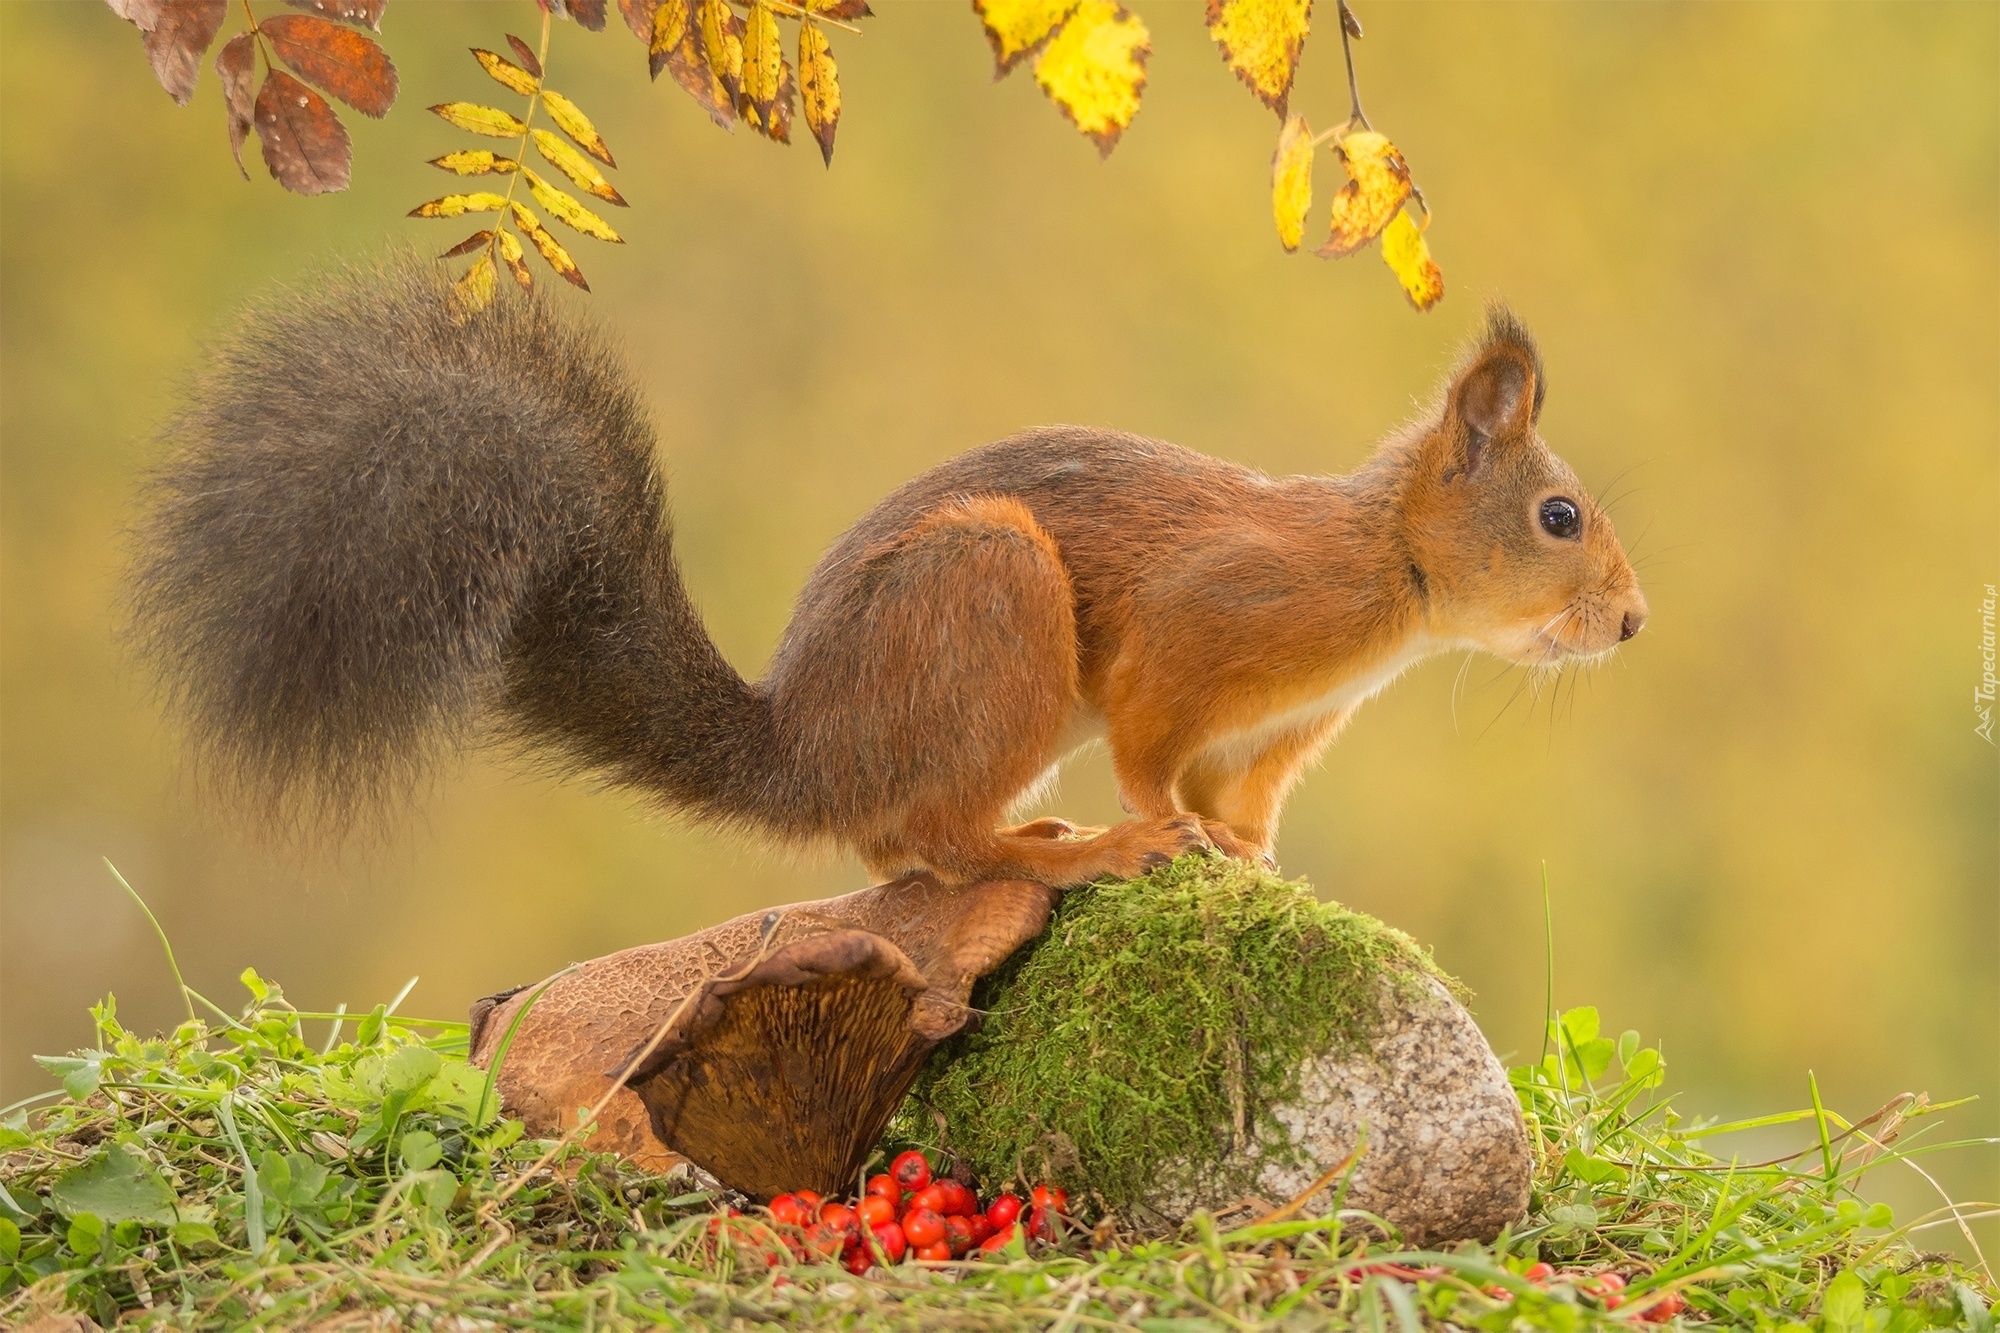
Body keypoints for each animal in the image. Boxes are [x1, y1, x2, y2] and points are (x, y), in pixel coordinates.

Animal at [133, 255, 1648, 888]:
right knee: (933, 840)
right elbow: (1155, 753)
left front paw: (1259, 860)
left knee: (899, 841)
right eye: (1559, 516)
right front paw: (1162, 831)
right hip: (992, 607)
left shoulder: (1278, 734)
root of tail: (809, 749)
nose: (1633, 623)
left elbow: (1243, 800)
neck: (1388, 578)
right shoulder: (1199, 630)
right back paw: (1073, 848)